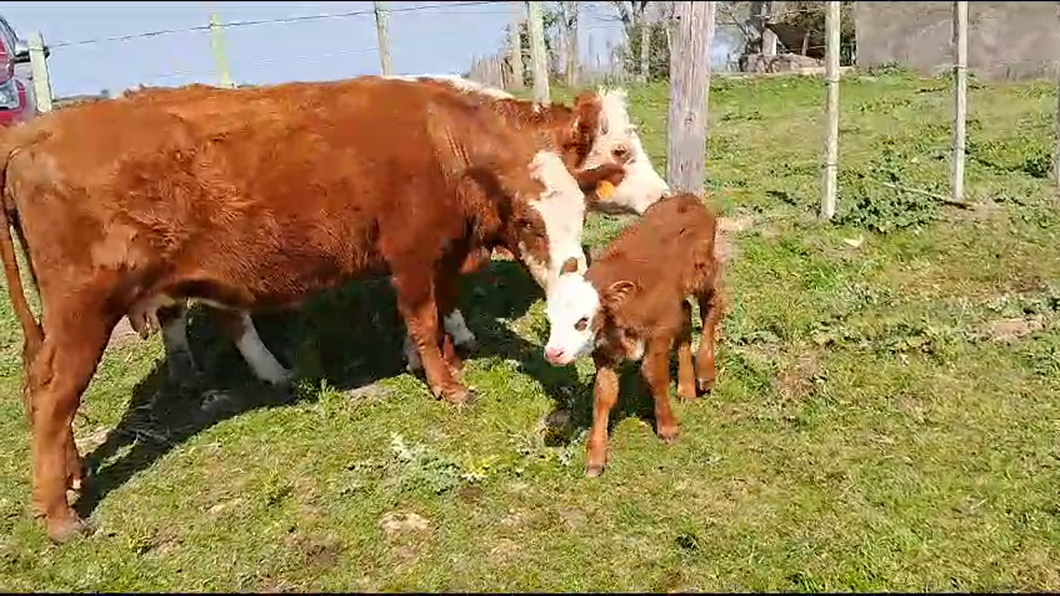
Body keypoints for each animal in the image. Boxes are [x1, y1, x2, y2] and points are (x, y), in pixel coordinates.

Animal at [0, 76, 597, 540]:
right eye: (527, 220)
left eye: (581, 210)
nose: (572, 279)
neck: (443, 143)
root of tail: (37, 135)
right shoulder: (411, 255)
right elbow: (424, 322)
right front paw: (448, 386)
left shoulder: (440, 256)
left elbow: (437, 319)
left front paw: (443, 365)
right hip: (84, 311)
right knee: (53, 398)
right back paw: (60, 517)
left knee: (39, 383)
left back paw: (74, 475)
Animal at [542, 193, 725, 475]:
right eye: (550, 319)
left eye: (582, 321)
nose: (553, 353)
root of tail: (686, 197)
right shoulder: (604, 352)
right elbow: (603, 394)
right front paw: (596, 457)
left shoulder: (658, 331)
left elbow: (653, 374)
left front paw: (667, 427)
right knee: (685, 314)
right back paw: (686, 387)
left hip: (702, 272)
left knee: (711, 307)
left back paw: (705, 373)